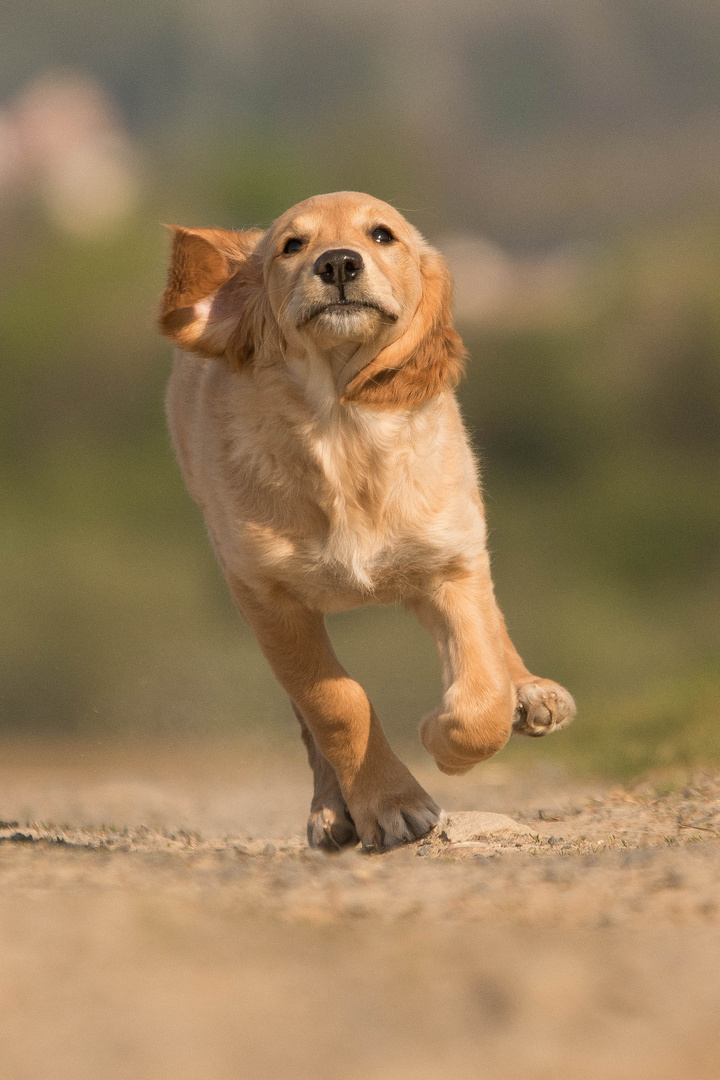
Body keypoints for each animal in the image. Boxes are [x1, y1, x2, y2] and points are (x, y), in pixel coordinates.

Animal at [158, 192, 574, 851]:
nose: (338, 264)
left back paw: (529, 690)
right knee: (307, 715)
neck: (341, 429)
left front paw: (442, 734)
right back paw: (331, 809)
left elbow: (481, 697)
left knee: (492, 624)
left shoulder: (448, 564)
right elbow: (334, 702)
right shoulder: (267, 598)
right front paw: (390, 804)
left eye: (382, 235)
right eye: (292, 245)